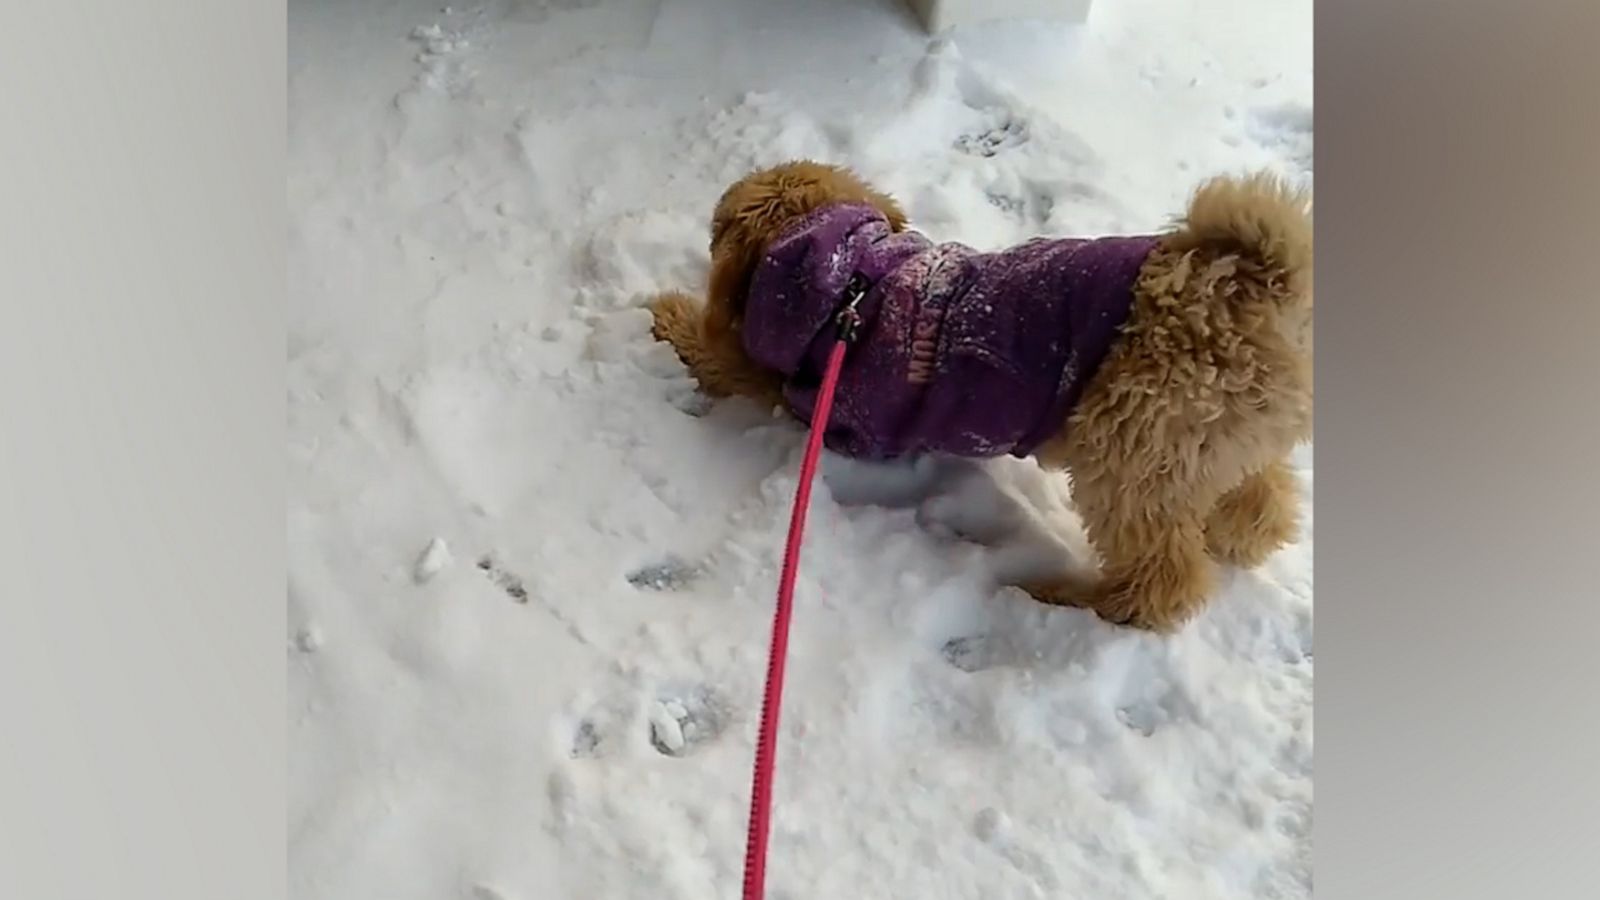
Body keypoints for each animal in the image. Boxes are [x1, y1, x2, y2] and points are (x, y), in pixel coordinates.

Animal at [649, 162, 1312, 637]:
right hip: (1206, 446)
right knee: (1264, 501)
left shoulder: (807, 398)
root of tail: (1252, 285)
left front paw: (666, 313)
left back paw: (1081, 600)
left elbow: (720, 356)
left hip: (1130, 448)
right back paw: (1236, 537)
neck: (851, 280)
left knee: (1163, 578)